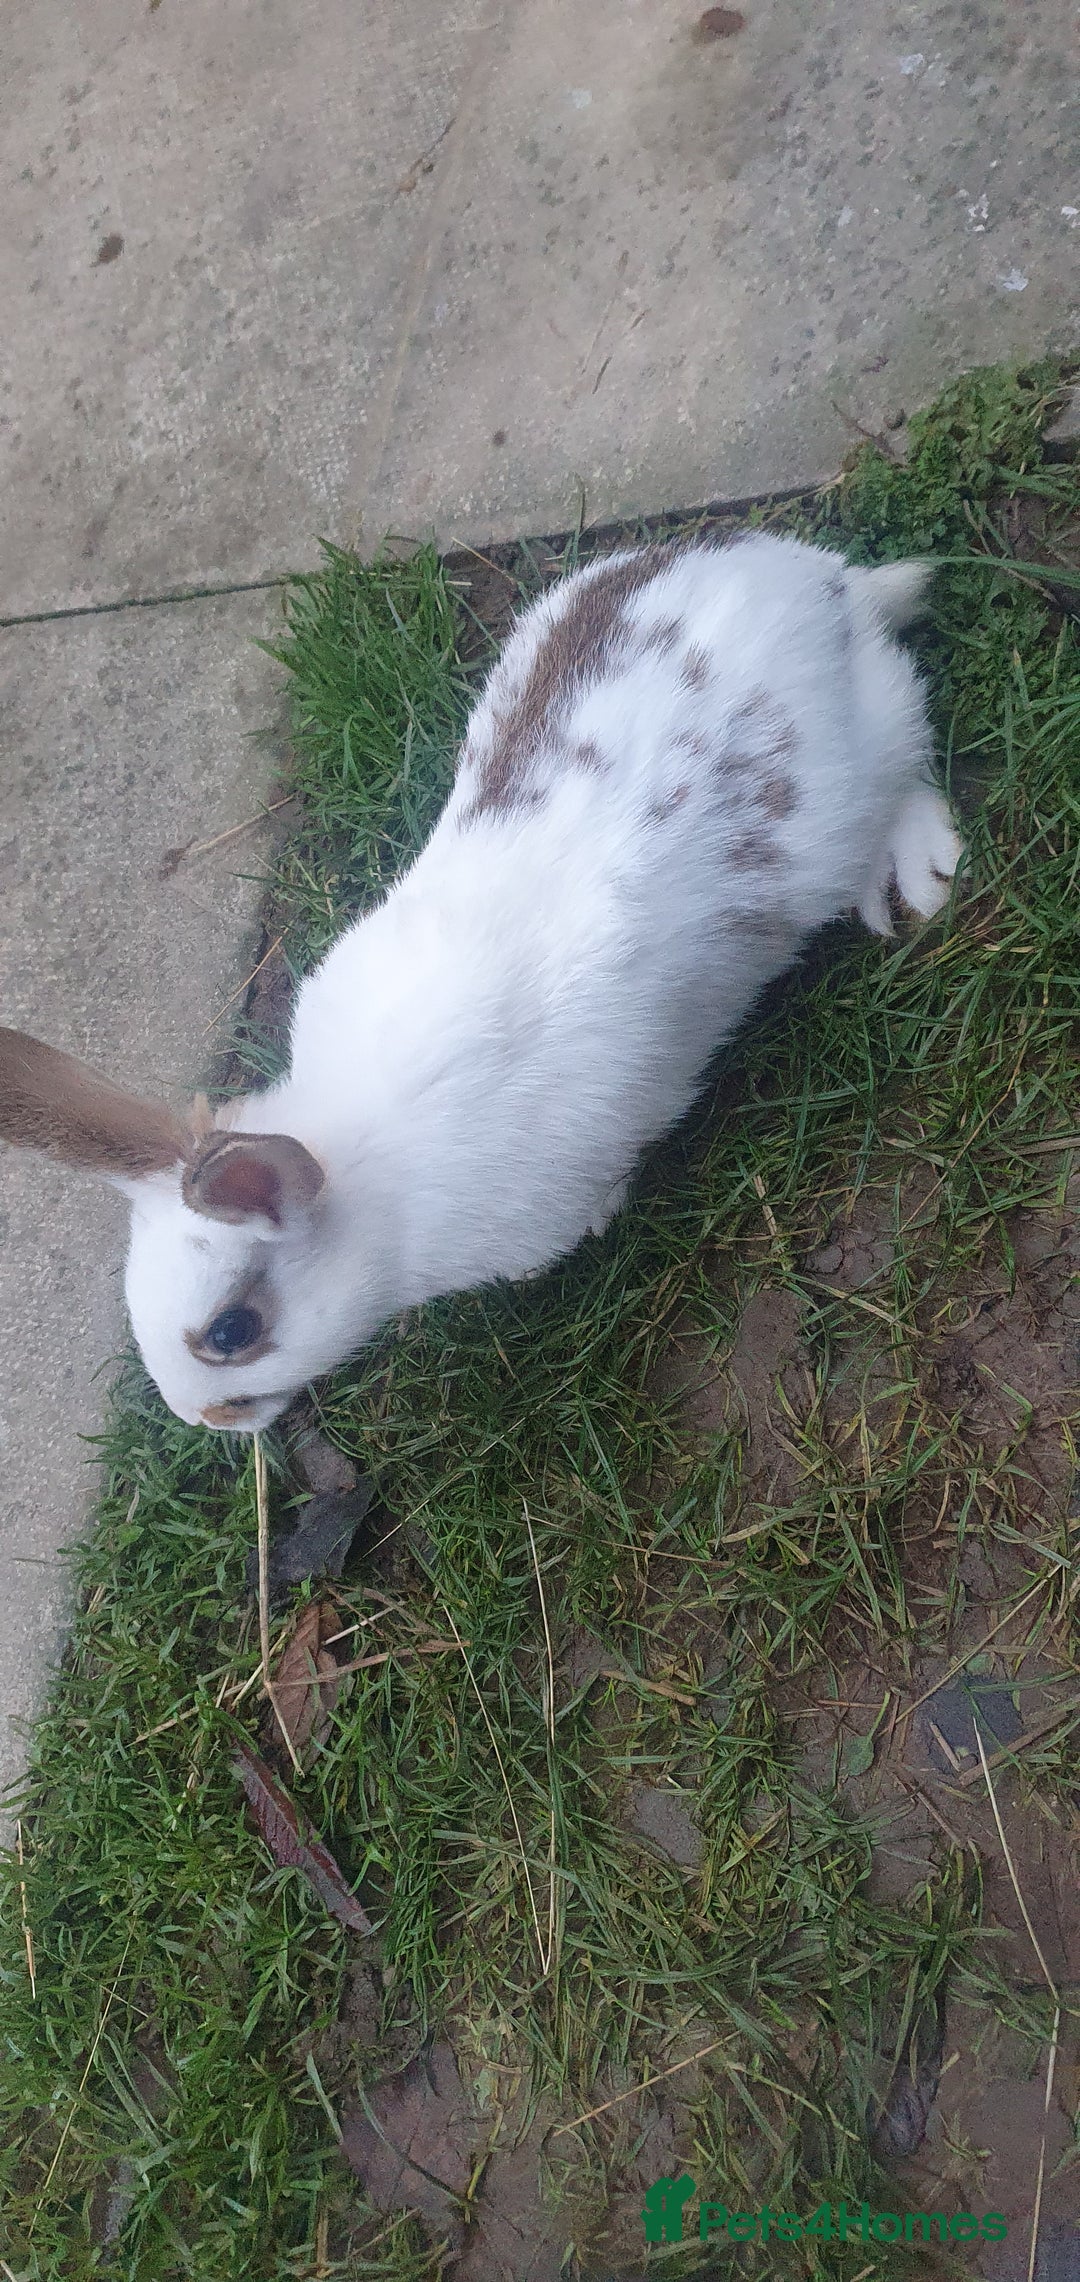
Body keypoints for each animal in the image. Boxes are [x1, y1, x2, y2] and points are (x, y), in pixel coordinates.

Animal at [0, 531, 960, 1434]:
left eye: (233, 1332)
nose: (203, 1419)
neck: (370, 1184)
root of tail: (823, 586)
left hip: (867, 761)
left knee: (912, 753)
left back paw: (918, 876)